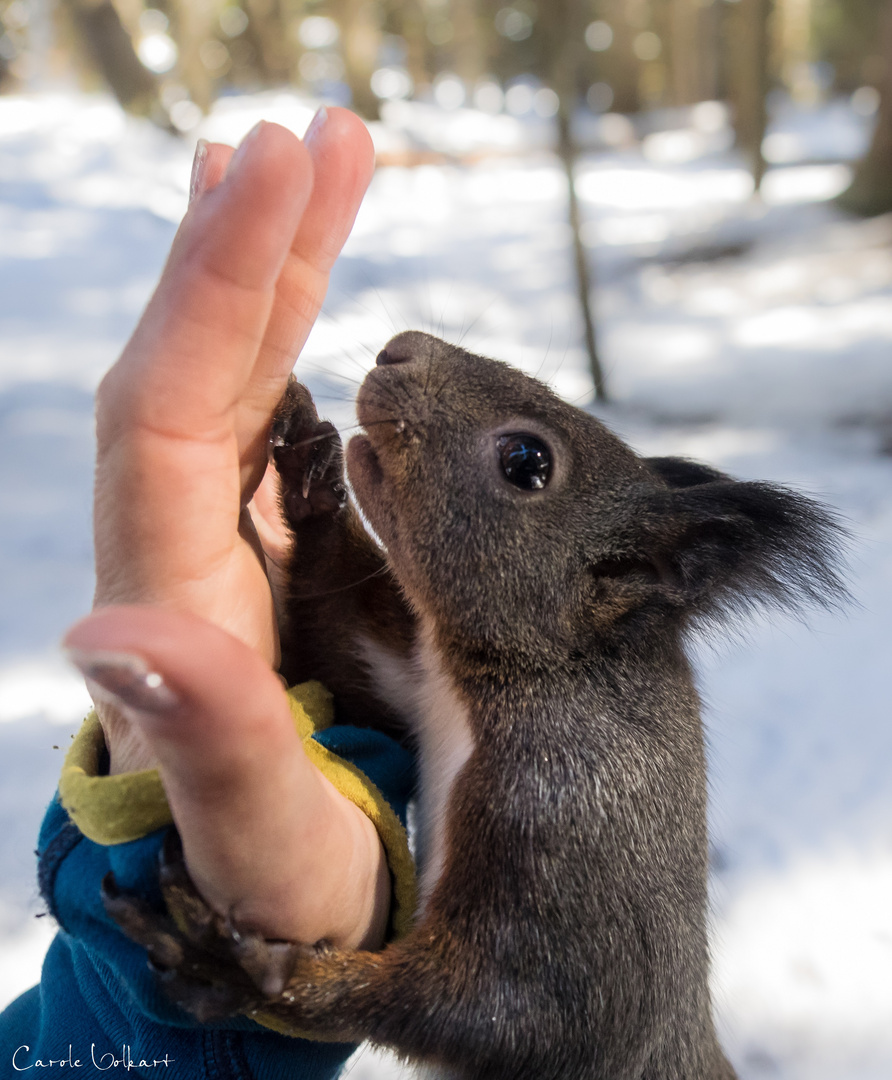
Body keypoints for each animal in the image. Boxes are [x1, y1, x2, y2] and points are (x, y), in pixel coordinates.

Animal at [102, 330, 842, 1080]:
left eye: (527, 461)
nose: (398, 349)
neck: (529, 679)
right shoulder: (411, 690)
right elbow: (343, 642)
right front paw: (310, 464)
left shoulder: (573, 838)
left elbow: (494, 1010)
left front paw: (254, 972)